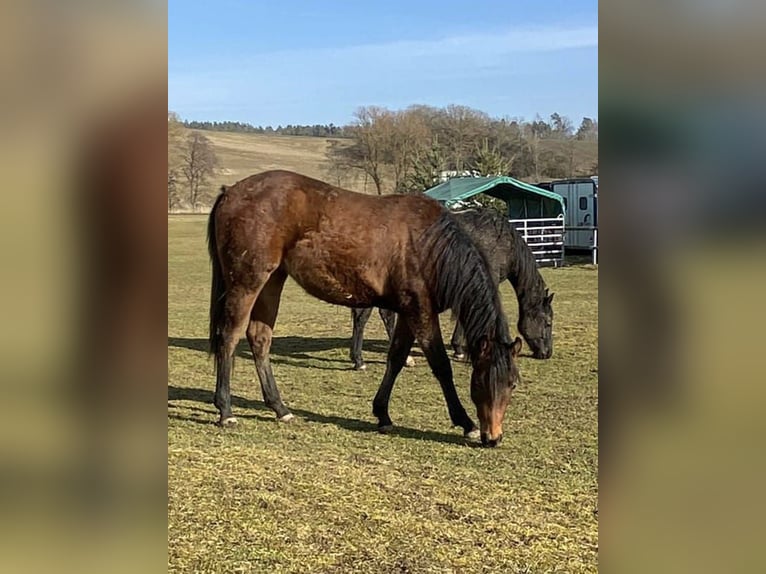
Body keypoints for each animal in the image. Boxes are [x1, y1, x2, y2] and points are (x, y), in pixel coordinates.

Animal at [207, 170, 522, 447]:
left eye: (512, 384)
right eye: (480, 382)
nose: (494, 438)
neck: (429, 245)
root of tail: (231, 191)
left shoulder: (408, 312)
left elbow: (396, 358)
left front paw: (382, 414)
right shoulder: (421, 312)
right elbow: (441, 365)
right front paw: (466, 423)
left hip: (273, 280)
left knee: (260, 338)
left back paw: (279, 408)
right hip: (248, 281)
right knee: (229, 336)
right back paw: (226, 410)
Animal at [349, 207, 554, 370]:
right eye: (548, 322)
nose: (547, 353)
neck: (500, 241)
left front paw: (457, 348)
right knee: (366, 316)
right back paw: (361, 360)